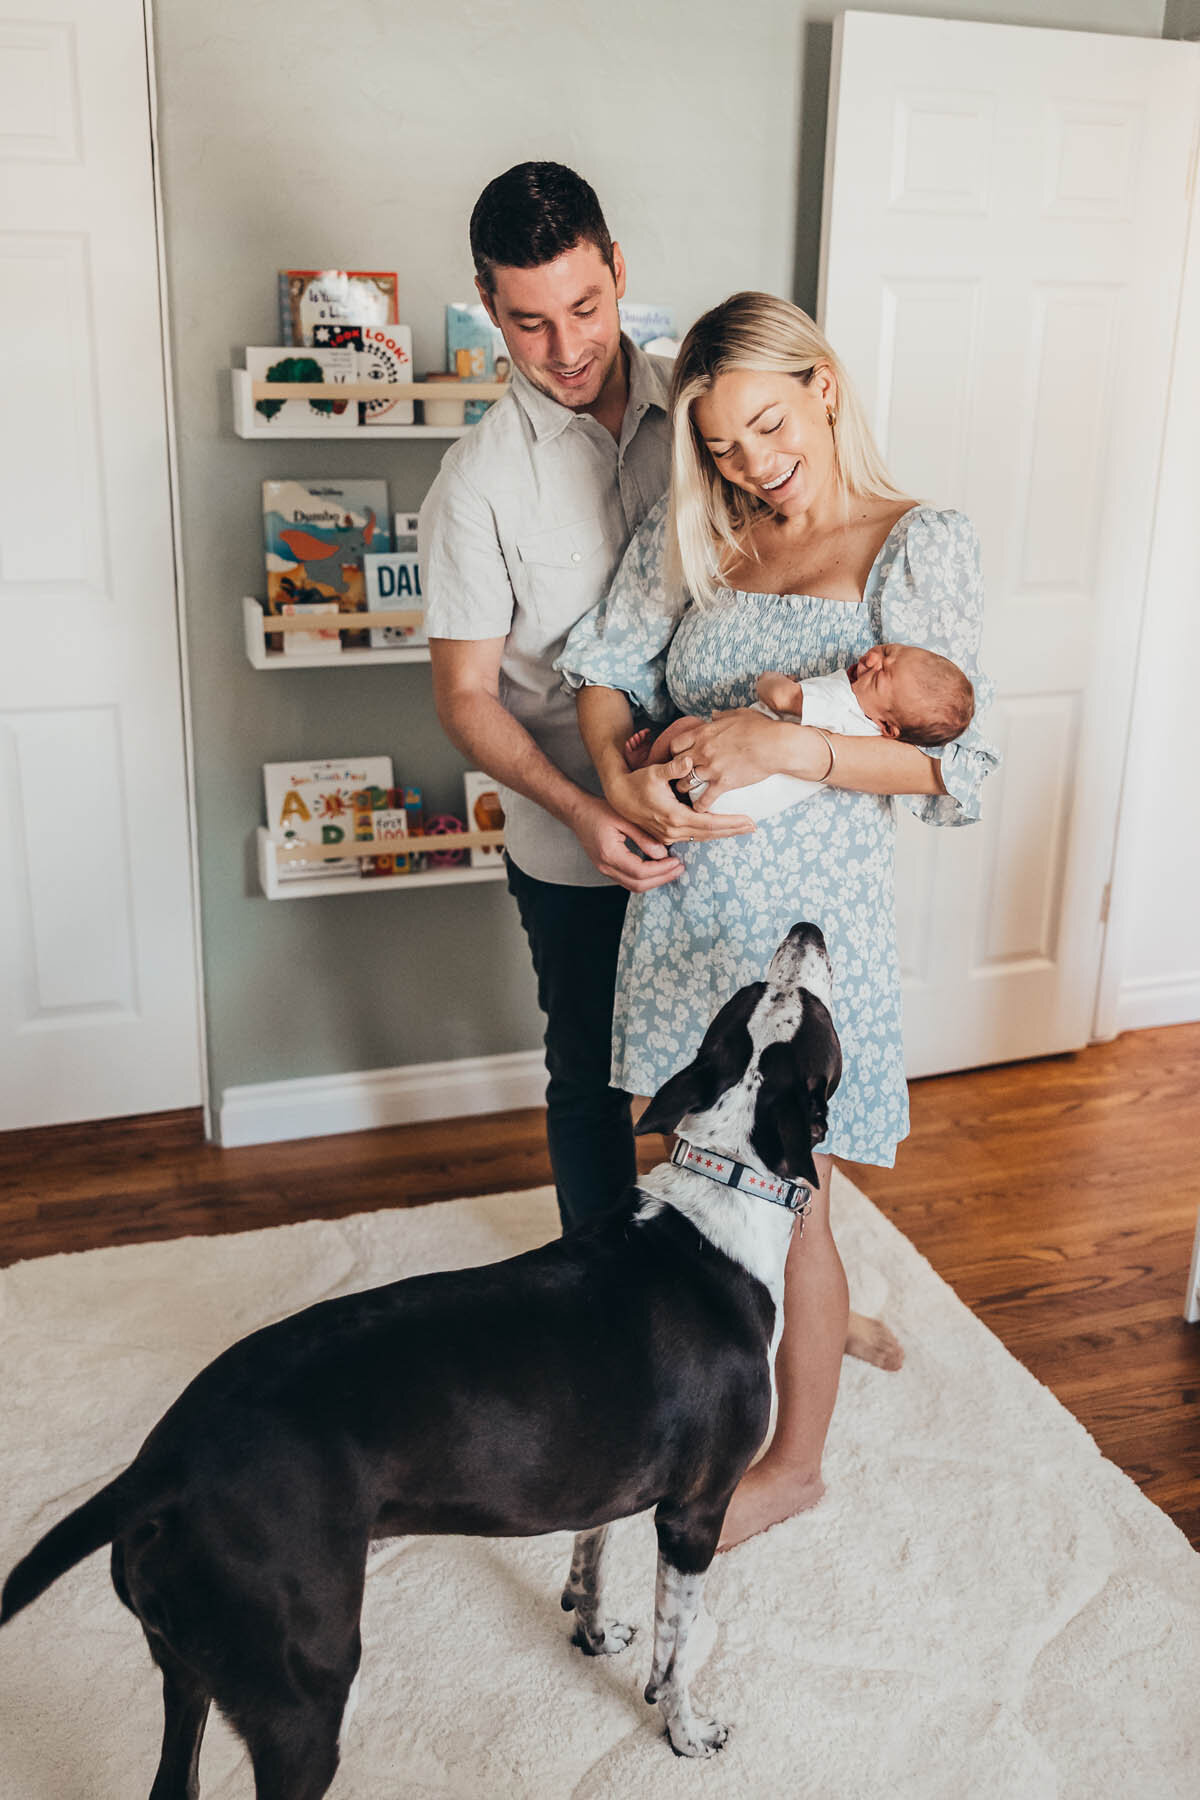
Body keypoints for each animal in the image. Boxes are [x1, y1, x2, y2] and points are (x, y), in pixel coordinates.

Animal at [2, 921, 845, 1792]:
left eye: (753, 998)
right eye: (808, 1010)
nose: (805, 929)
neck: (726, 1185)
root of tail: (160, 1469)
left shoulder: (614, 1489)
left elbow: (590, 1557)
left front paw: (593, 1632)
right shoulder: (695, 1513)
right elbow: (677, 1649)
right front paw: (685, 1732)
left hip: (187, 1675)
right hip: (304, 1694)